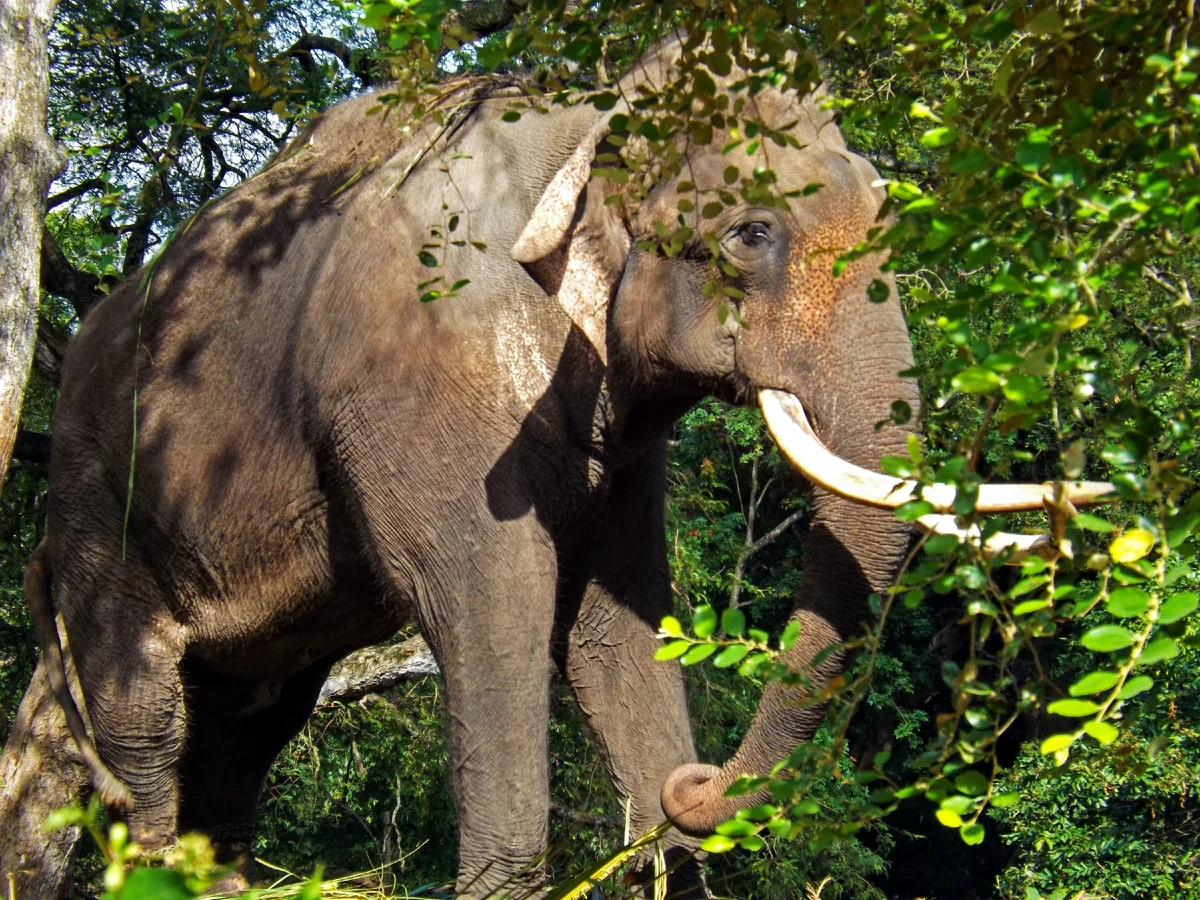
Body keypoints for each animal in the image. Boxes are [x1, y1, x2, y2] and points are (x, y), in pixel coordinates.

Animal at [25, 30, 1104, 900]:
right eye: (750, 233)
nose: (691, 783)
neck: (597, 113)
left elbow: (613, 626)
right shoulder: (424, 368)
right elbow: (494, 598)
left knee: (236, 729)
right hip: (98, 496)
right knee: (144, 720)